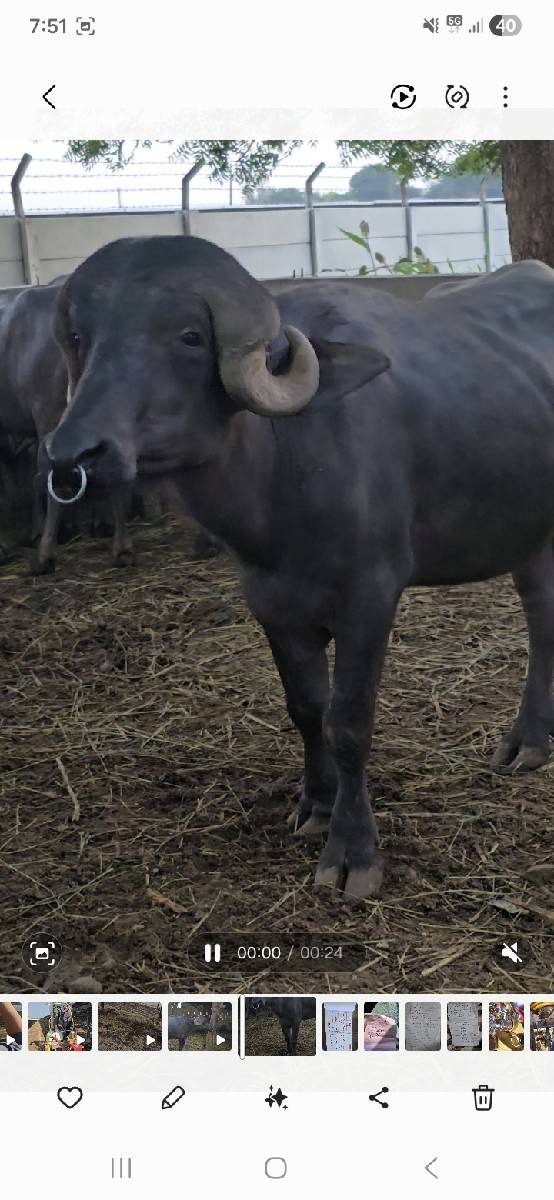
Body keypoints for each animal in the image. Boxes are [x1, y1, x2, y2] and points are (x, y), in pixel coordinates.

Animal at [42, 236, 554, 898]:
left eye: (189, 337)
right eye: (81, 337)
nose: (75, 454)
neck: (286, 466)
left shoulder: (370, 597)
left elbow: (349, 721)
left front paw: (353, 851)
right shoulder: (271, 604)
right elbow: (307, 708)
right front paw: (316, 804)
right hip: (530, 532)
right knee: (541, 614)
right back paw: (528, 741)